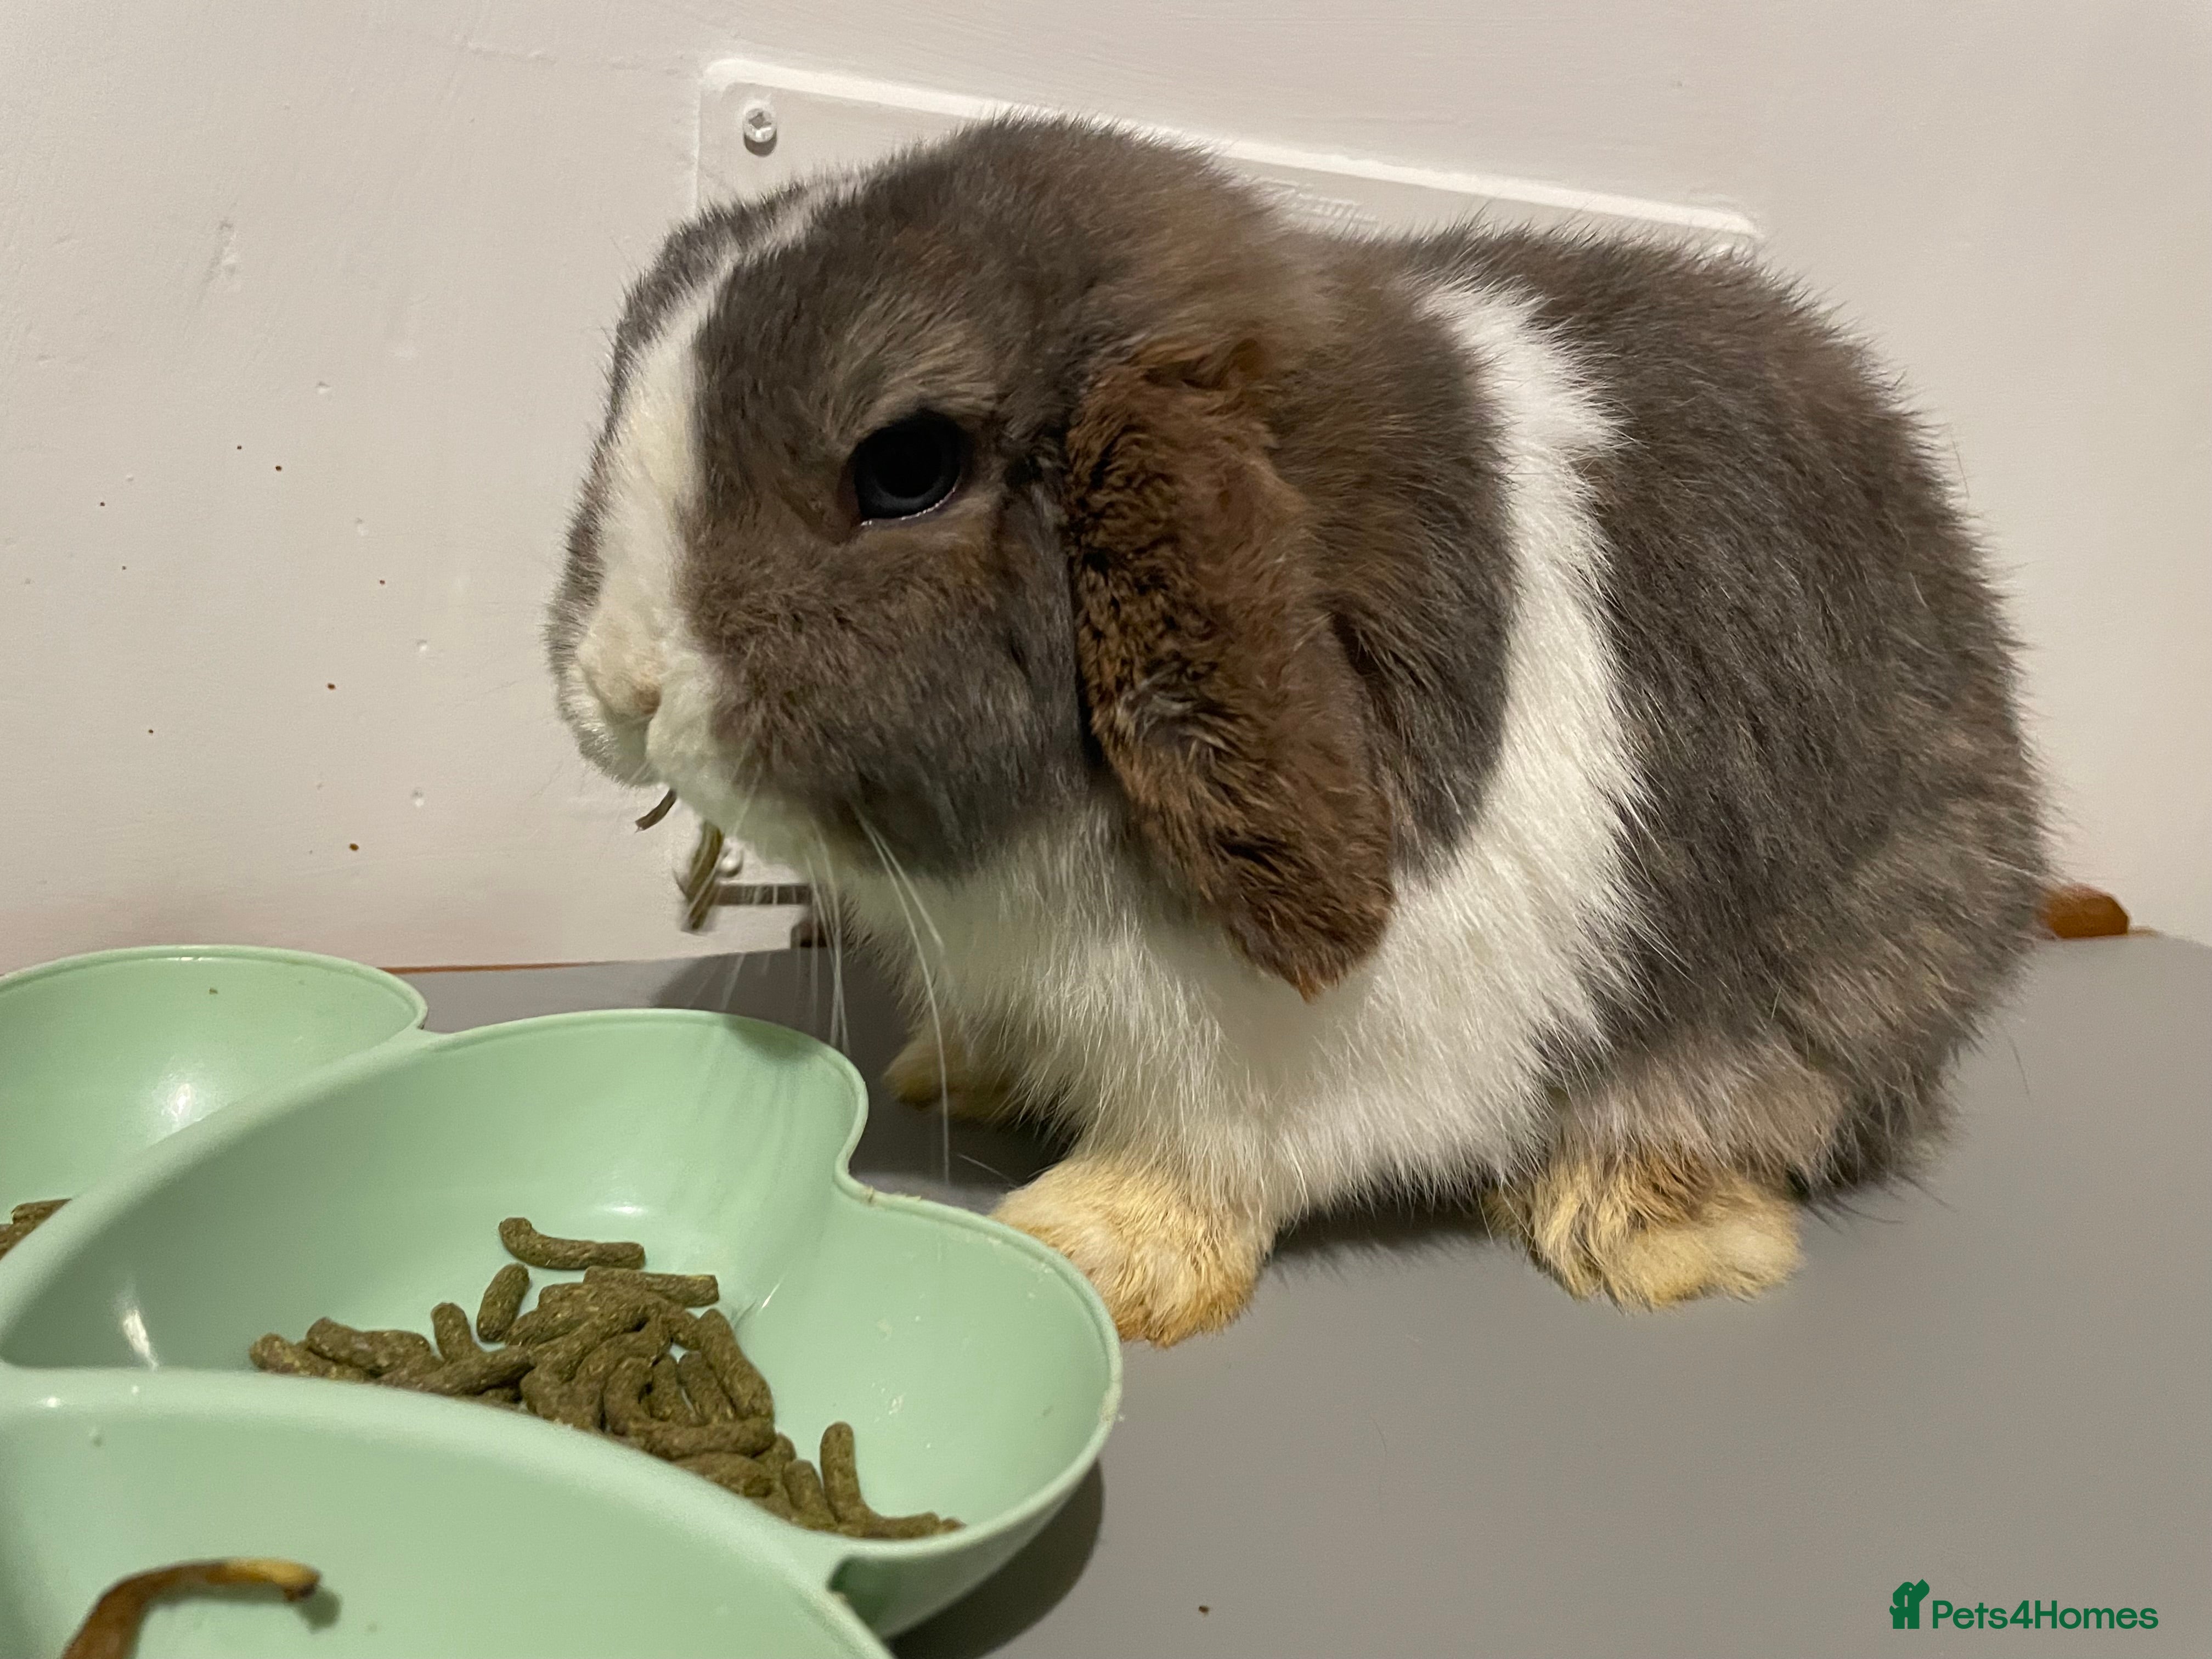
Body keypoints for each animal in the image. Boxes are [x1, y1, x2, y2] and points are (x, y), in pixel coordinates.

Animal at [548, 117, 2046, 1344]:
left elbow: (1212, 1158)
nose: (621, 689)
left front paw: (1093, 1250)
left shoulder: (1275, 1058)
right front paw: (948, 1076)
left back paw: (1642, 1229)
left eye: (906, 467)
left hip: (1848, 973)